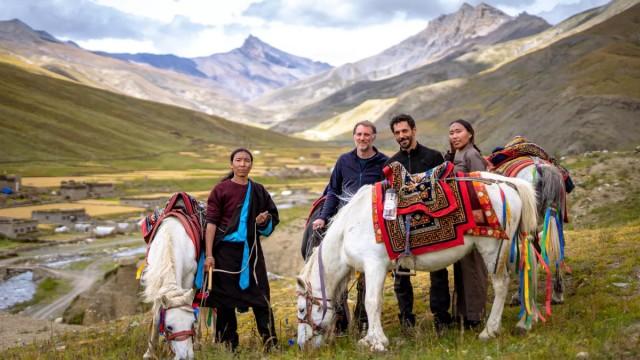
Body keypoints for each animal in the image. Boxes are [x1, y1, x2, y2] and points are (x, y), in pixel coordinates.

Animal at [142, 217, 198, 360]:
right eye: (169, 327)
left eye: (192, 323)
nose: (186, 357)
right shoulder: (157, 284)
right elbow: (156, 317)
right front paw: (149, 352)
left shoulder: (189, 278)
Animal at [298, 173, 536, 350]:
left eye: (301, 310)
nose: (301, 345)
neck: (348, 229)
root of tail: (510, 184)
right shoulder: (371, 270)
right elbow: (371, 302)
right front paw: (368, 339)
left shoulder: (374, 265)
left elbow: (371, 302)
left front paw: (377, 342)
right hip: (512, 247)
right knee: (526, 270)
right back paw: (525, 322)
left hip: (493, 248)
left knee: (501, 285)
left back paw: (490, 331)